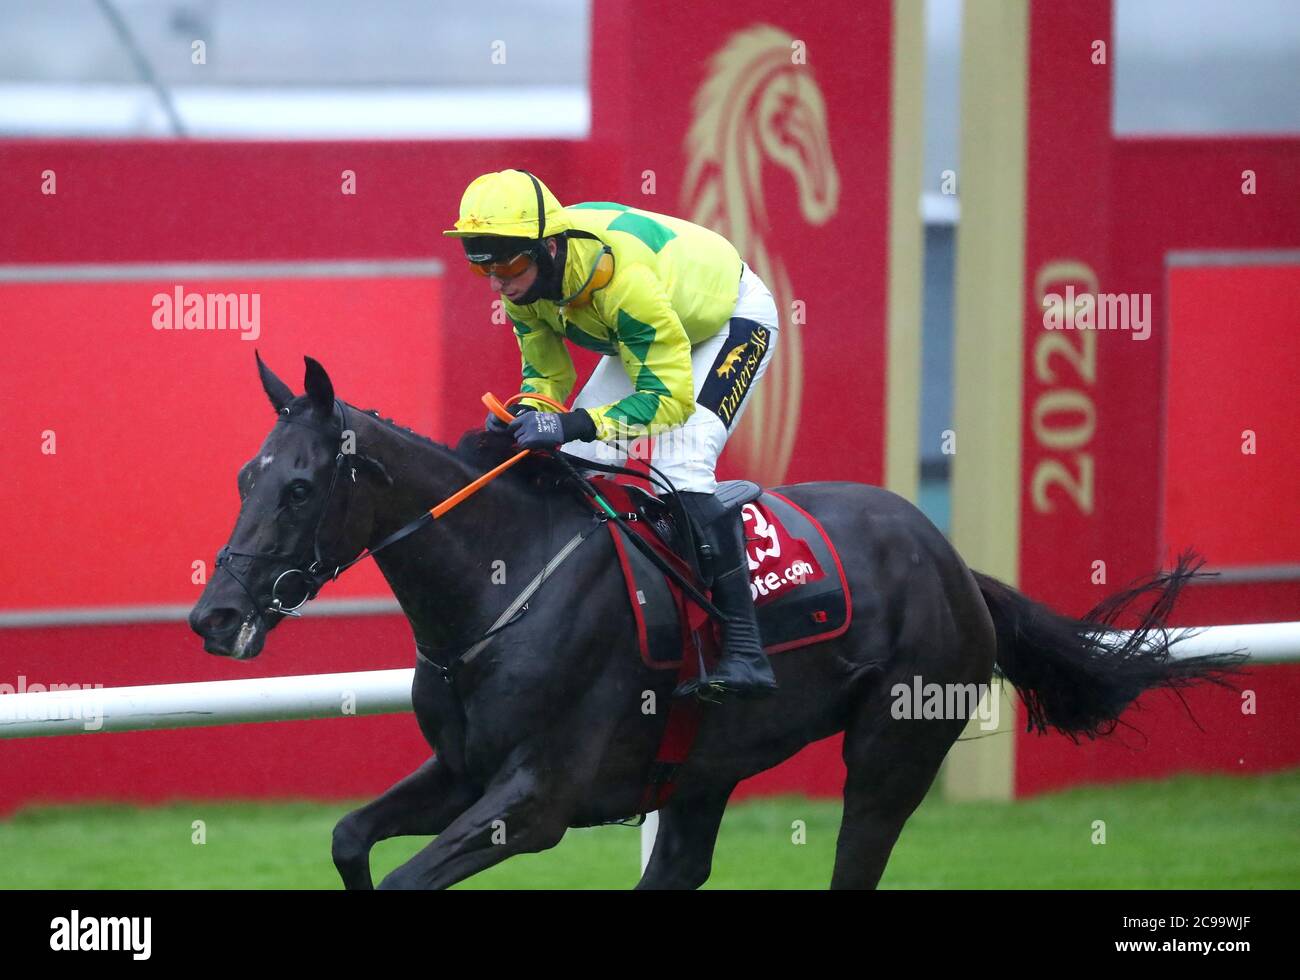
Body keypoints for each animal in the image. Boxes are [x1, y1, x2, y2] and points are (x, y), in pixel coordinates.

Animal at [188, 355, 1244, 889]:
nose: (214, 613)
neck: (502, 583)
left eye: (298, 487)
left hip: (893, 753)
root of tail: (952, 564)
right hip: (704, 767)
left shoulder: (537, 800)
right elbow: (348, 840)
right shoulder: (461, 772)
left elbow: (408, 878)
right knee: (683, 865)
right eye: (242, 476)